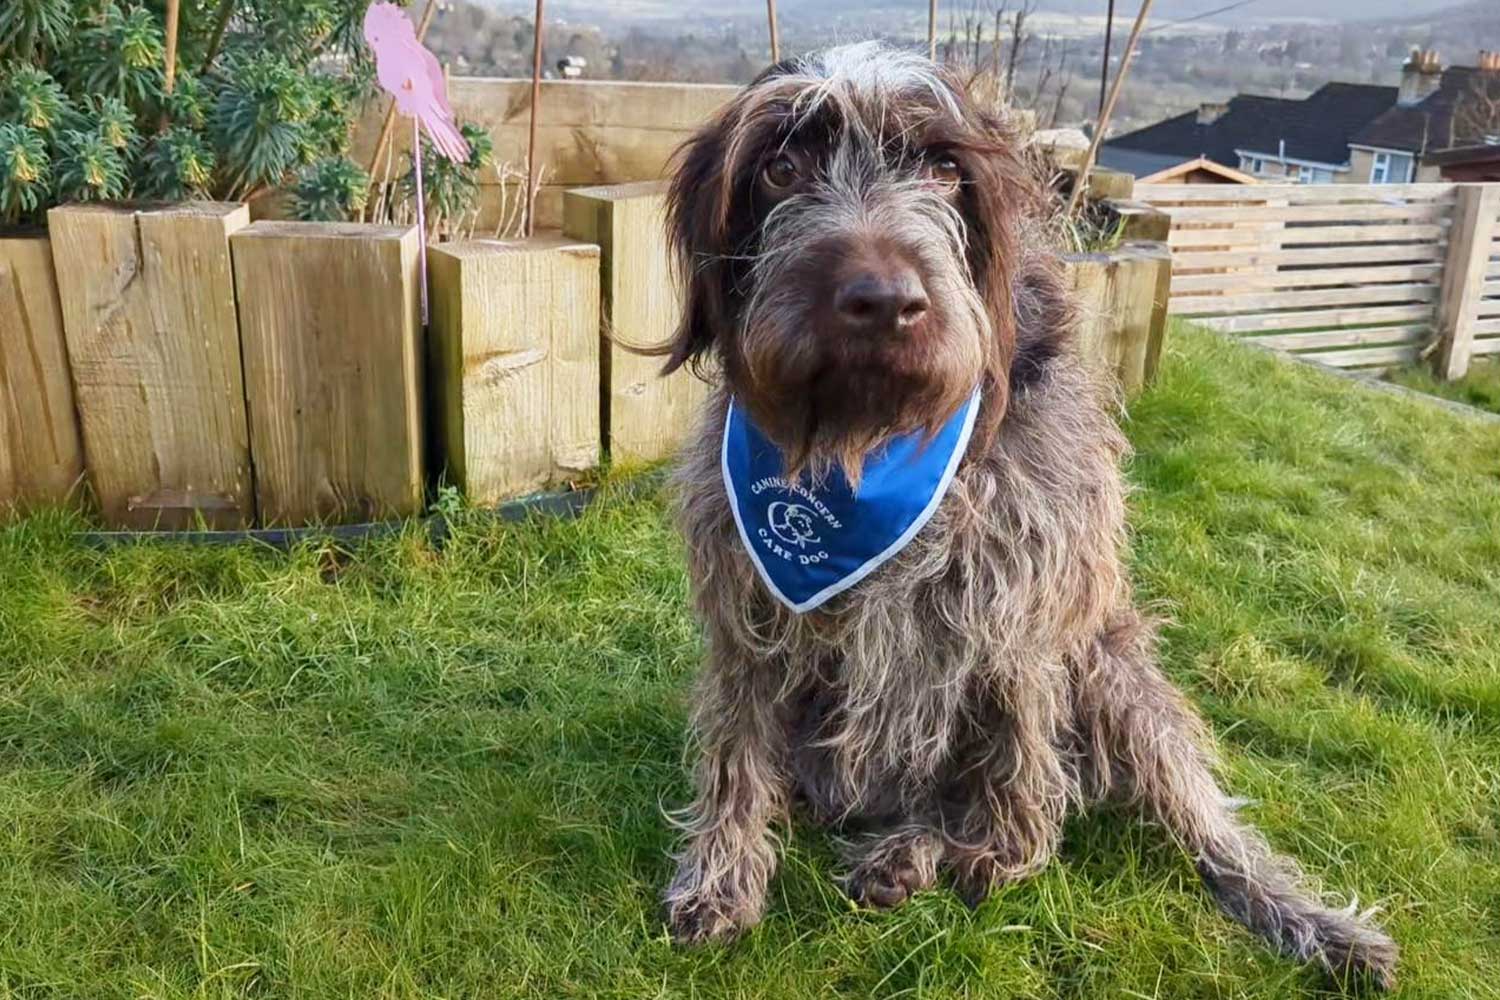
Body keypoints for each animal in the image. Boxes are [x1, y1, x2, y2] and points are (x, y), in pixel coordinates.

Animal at [657, 43, 1392, 989]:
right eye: (781, 169)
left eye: (944, 169)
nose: (883, 302)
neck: (871, 441)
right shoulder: (750, 612)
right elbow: (737, 758)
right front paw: (720, 877)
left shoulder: (1020, 605)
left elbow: (1018, 747)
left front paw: (1005, 855)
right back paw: (905, 852)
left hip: (1116, 675)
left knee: (1193, 824)